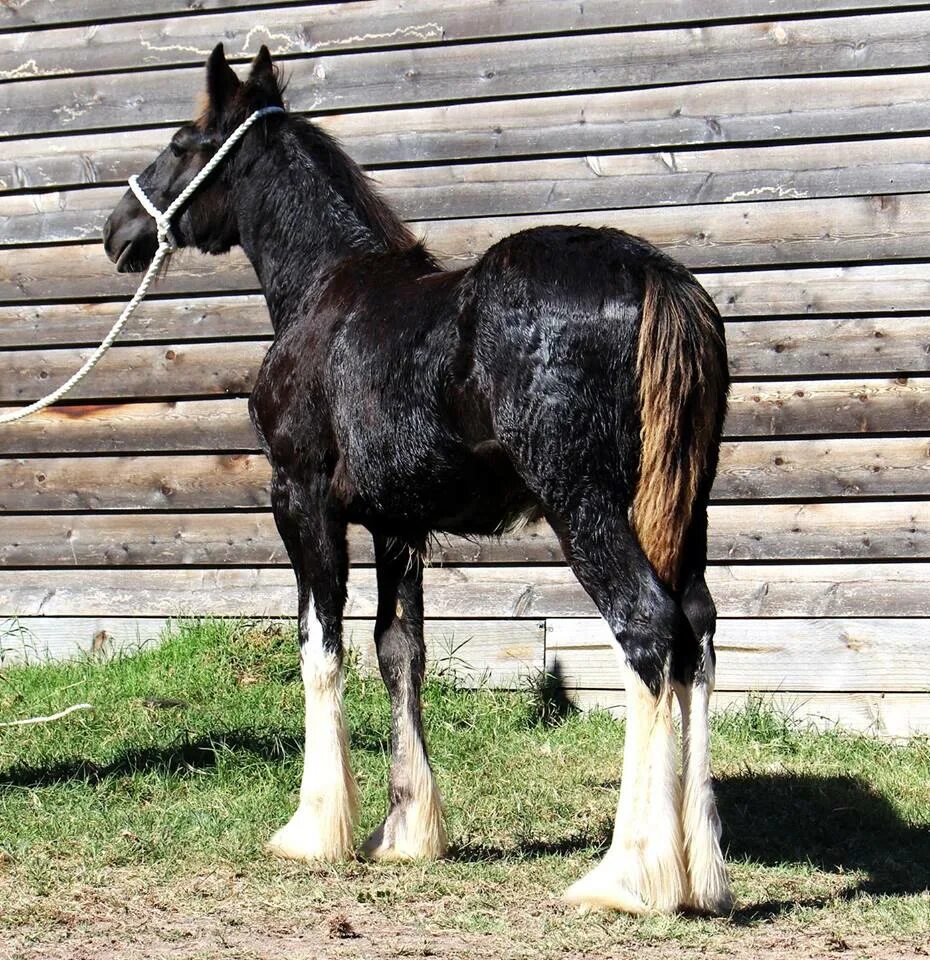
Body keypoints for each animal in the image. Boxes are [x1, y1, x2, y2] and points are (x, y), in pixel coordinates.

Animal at [99, 43, 724, 916]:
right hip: (686, 511)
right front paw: (404, 832)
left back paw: (629, 877)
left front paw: (313, 829)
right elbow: (400, 650)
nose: (115, 231)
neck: (328, 291)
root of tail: (654, 278)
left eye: (184, 142)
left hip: (586, 507)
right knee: (696, 633)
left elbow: (319, 645)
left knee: (646, 627)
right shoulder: (398, 523)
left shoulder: (301, 502)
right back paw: (704, 874)